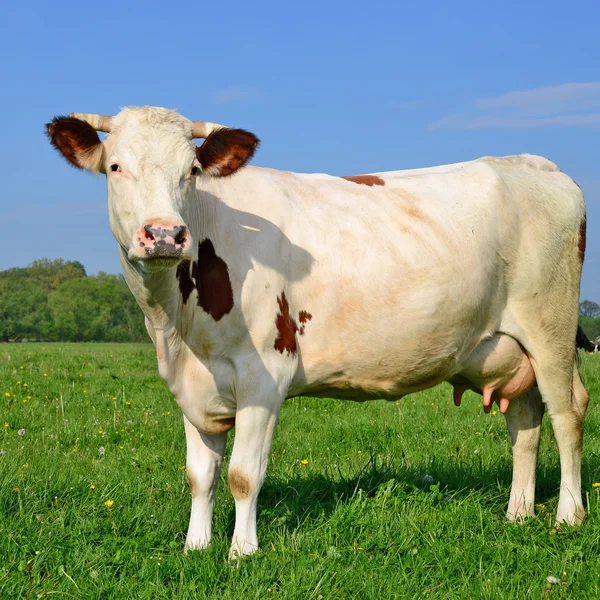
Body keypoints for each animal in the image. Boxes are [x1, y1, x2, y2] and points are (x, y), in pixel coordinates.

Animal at [44, 106, 588, 556]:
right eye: (116, 167)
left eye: (191, 171)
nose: (163, 235)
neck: (176, 326)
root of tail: (533, 163)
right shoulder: (190, 383)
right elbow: (200, 476)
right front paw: (195, 548)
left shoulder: (264, 374)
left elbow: (243, 474)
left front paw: (242, 552)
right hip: (508, 348)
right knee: (525, 420)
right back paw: (518, 514)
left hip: (552, 329)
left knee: (567, 413)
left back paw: (568, 515)